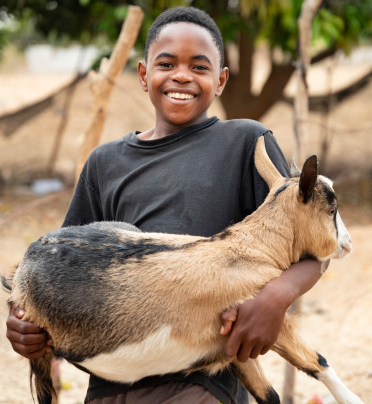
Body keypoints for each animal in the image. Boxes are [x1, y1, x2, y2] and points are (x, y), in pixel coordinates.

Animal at [2, 137, 364, 404]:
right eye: (332, 207)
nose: (347, 244)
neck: (250, 248)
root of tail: (24, 266)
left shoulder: (239, 351)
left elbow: (270, 396)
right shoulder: (271, 324)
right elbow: (318, 363)